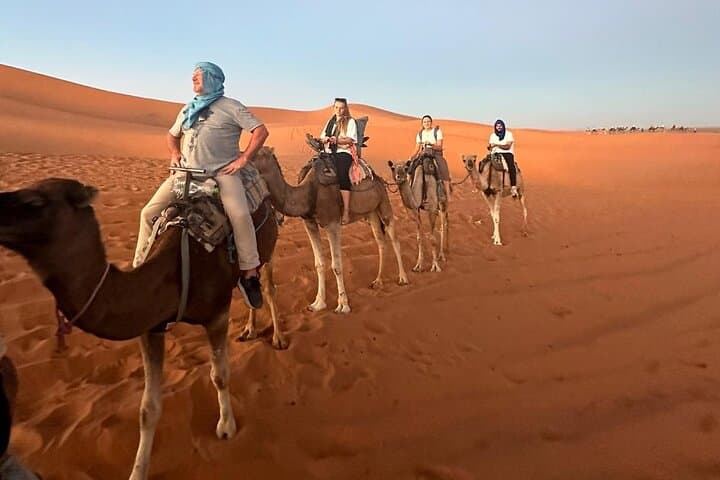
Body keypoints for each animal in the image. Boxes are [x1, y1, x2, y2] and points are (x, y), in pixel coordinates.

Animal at [0, 177, 283, 480]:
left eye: (35, 202)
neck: (177, 268)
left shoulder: (216, 314)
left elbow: (220, 376)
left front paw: (227, 427)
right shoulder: (152, 326)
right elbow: (148, 408)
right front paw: (138, 471)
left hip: (266, 250)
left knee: (266, 285)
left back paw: (277, 338)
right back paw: (249, 331)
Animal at [252, 146, 409, 313]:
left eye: (255, 154)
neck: (308, 193)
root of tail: (378, 178)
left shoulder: (333, 223)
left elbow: (337, 266)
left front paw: (343, 305)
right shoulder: (309, 223)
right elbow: (319, 264)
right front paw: (318, 303)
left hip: (383, 203)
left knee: (394, 239)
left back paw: (403, 278)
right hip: (371, 213)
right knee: (381, 242)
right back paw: (378, 281)